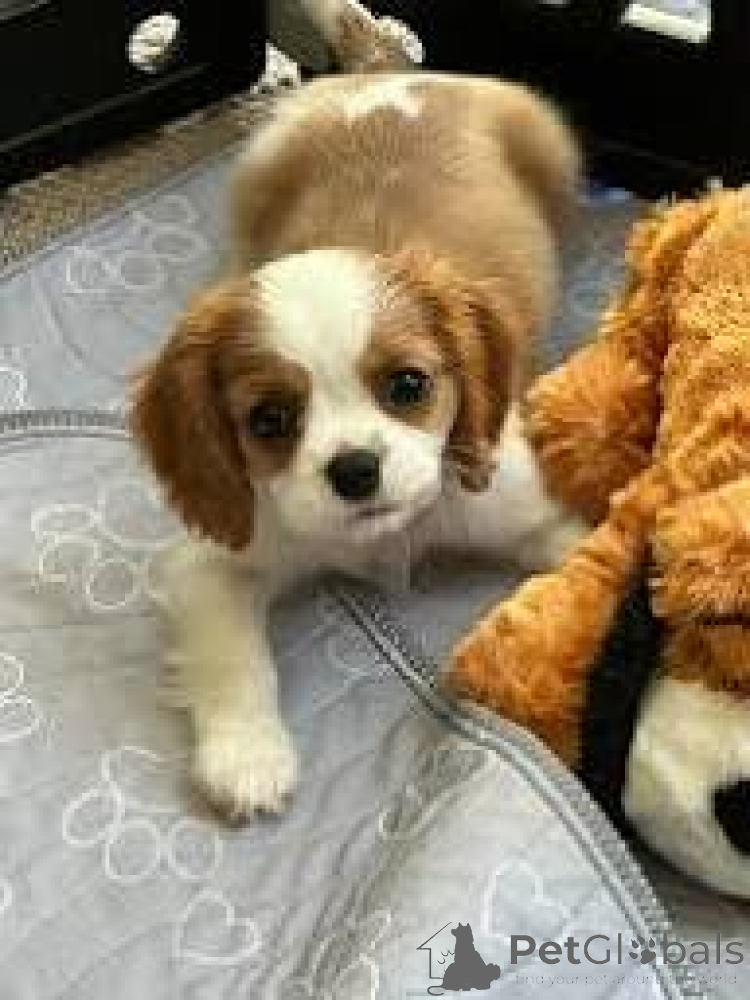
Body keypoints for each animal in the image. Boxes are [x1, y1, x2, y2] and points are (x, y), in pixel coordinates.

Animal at [131, 0, 584, 821]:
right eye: (268, 421)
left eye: (408, 385)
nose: (355, 471)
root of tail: (386, 73)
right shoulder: (213, 562)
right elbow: (232, 657)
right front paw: (247, 756)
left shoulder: (527, 509)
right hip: (258, 160)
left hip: (551, 140)